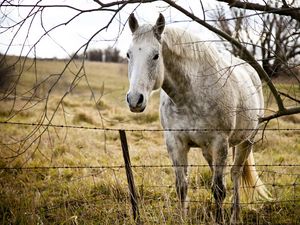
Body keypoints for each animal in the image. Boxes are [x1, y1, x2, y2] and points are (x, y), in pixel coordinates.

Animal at [125, 13, 270, 224]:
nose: (135, 99)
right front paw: (183, 218)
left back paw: (235, 215)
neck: (190, 95)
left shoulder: (220, 142)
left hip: (246, 141)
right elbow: (182, 187)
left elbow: (218, 190)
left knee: (235, 173)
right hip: (209, 150)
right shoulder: (175, 143)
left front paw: (220, 219)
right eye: (129, 54)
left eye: (156, 55)